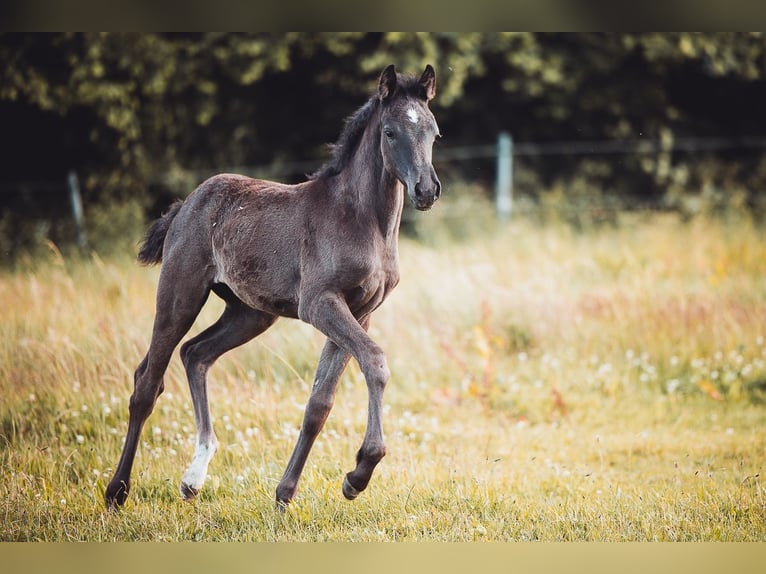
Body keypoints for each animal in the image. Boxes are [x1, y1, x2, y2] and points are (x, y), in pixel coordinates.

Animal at [105, 64, 442, 509]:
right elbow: (375, 362)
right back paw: (117, 490)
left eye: (434, 132)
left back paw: (194, 477)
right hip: (180, 294)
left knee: (195, 354)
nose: (426, 190)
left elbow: (319, 403)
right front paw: (360, 471)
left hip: (250, 313)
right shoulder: (320, 304)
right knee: (147, 381)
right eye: (390, 131)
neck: (362, 220)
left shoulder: (360, 312)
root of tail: (186, 204)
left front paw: (287, 493)